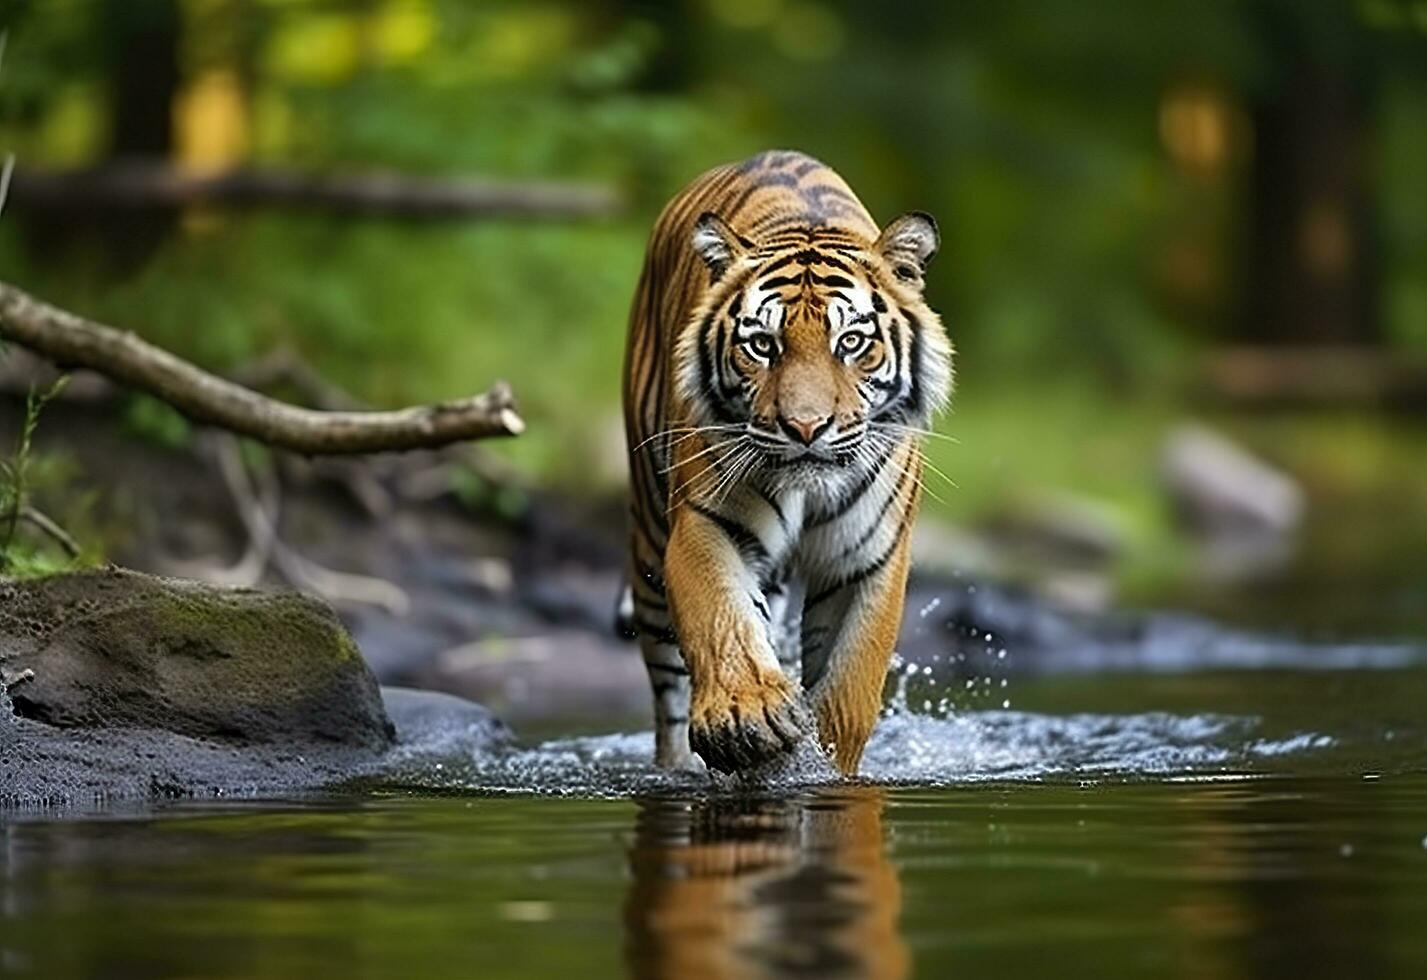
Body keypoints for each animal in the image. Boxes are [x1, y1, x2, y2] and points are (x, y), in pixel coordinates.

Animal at [619, 147, 953, 776]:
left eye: (851, 343)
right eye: (762, 345)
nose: (805, 428)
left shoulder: (866, 558)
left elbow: (851, 679)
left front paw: (822, 764)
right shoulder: (705, 524)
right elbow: (721, 619)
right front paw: (745, 716)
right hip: (649, 542)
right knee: (667, 698)